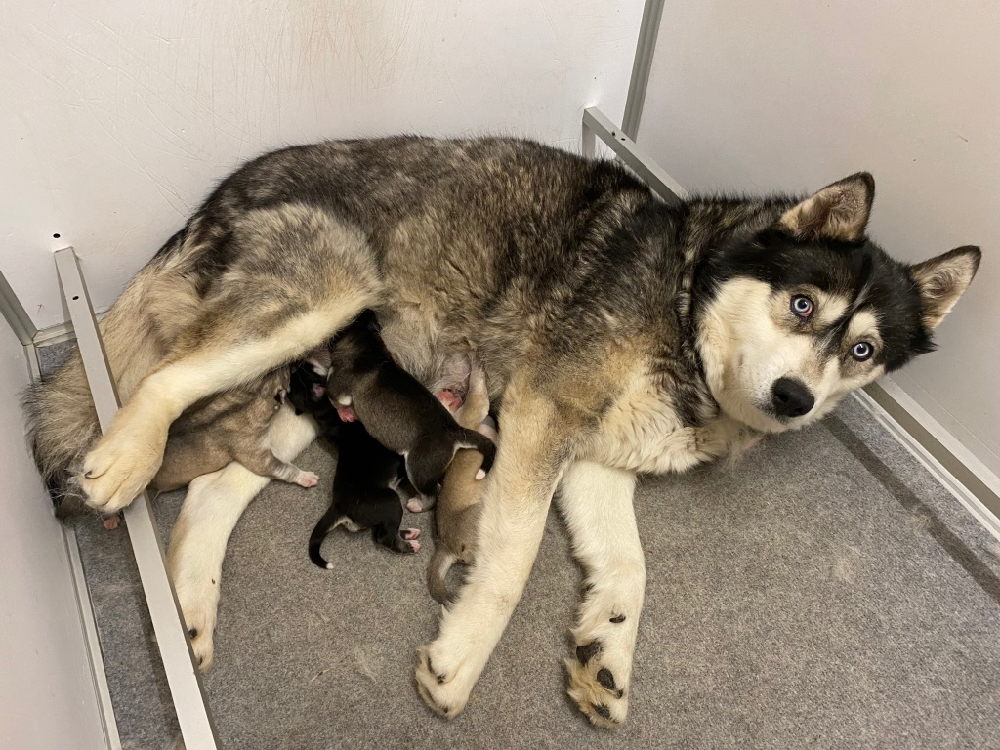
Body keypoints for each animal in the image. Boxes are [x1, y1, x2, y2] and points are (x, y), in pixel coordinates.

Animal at [288, 362, 420, 568]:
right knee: (384, 537)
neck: (323, 409)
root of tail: (337, 507)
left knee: (381, 532)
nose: (295, 364)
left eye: (303, 371)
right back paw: (411, 545)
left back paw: (410, 534)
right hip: (390, 501)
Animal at [326, 312, 498, 500]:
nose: (369, 310)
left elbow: (335, 399)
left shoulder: (338, 388)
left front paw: (345, 414)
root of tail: (454, 431)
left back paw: (416, 503)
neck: (368, 344)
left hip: (418, 468)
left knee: (433, 493)